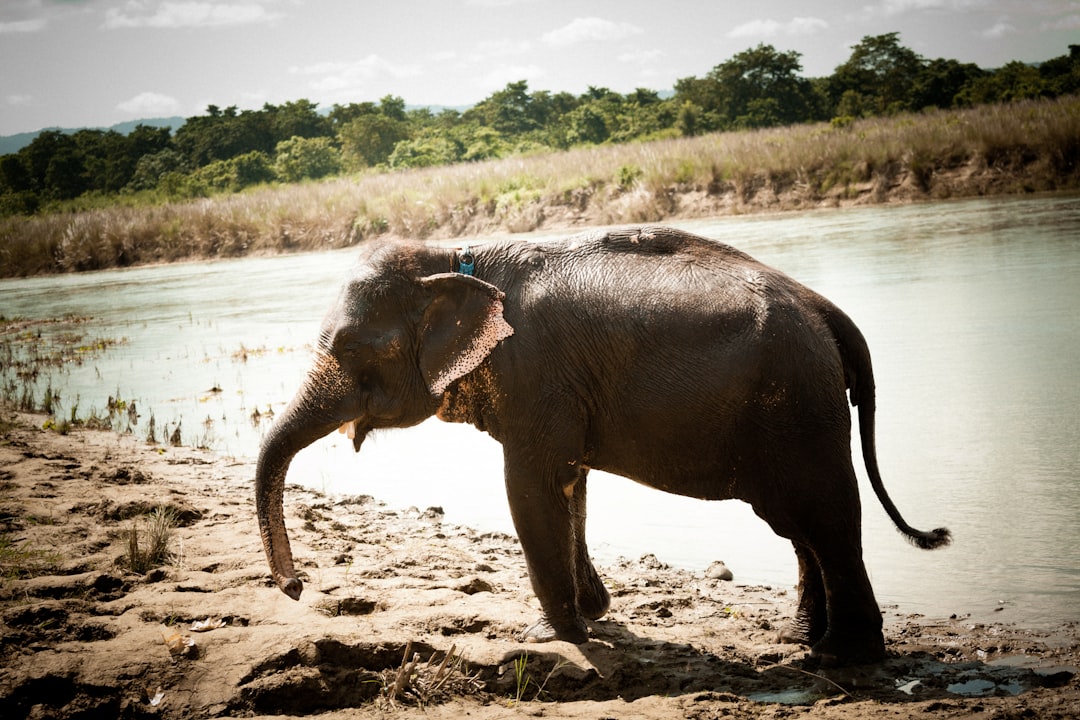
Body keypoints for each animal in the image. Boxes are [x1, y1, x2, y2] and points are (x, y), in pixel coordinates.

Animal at [257, 226, 950, 669]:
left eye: (349, 348)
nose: (295, 588)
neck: (453, 253)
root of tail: (828, 311)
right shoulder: (562, 391)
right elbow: (572, 484)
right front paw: (593, 615)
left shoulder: (536, 377)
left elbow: (531, 487)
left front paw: (552, 633)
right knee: (798, 524)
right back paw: (805, 640)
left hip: (799, 404)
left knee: (823, 515)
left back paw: (841, 657)